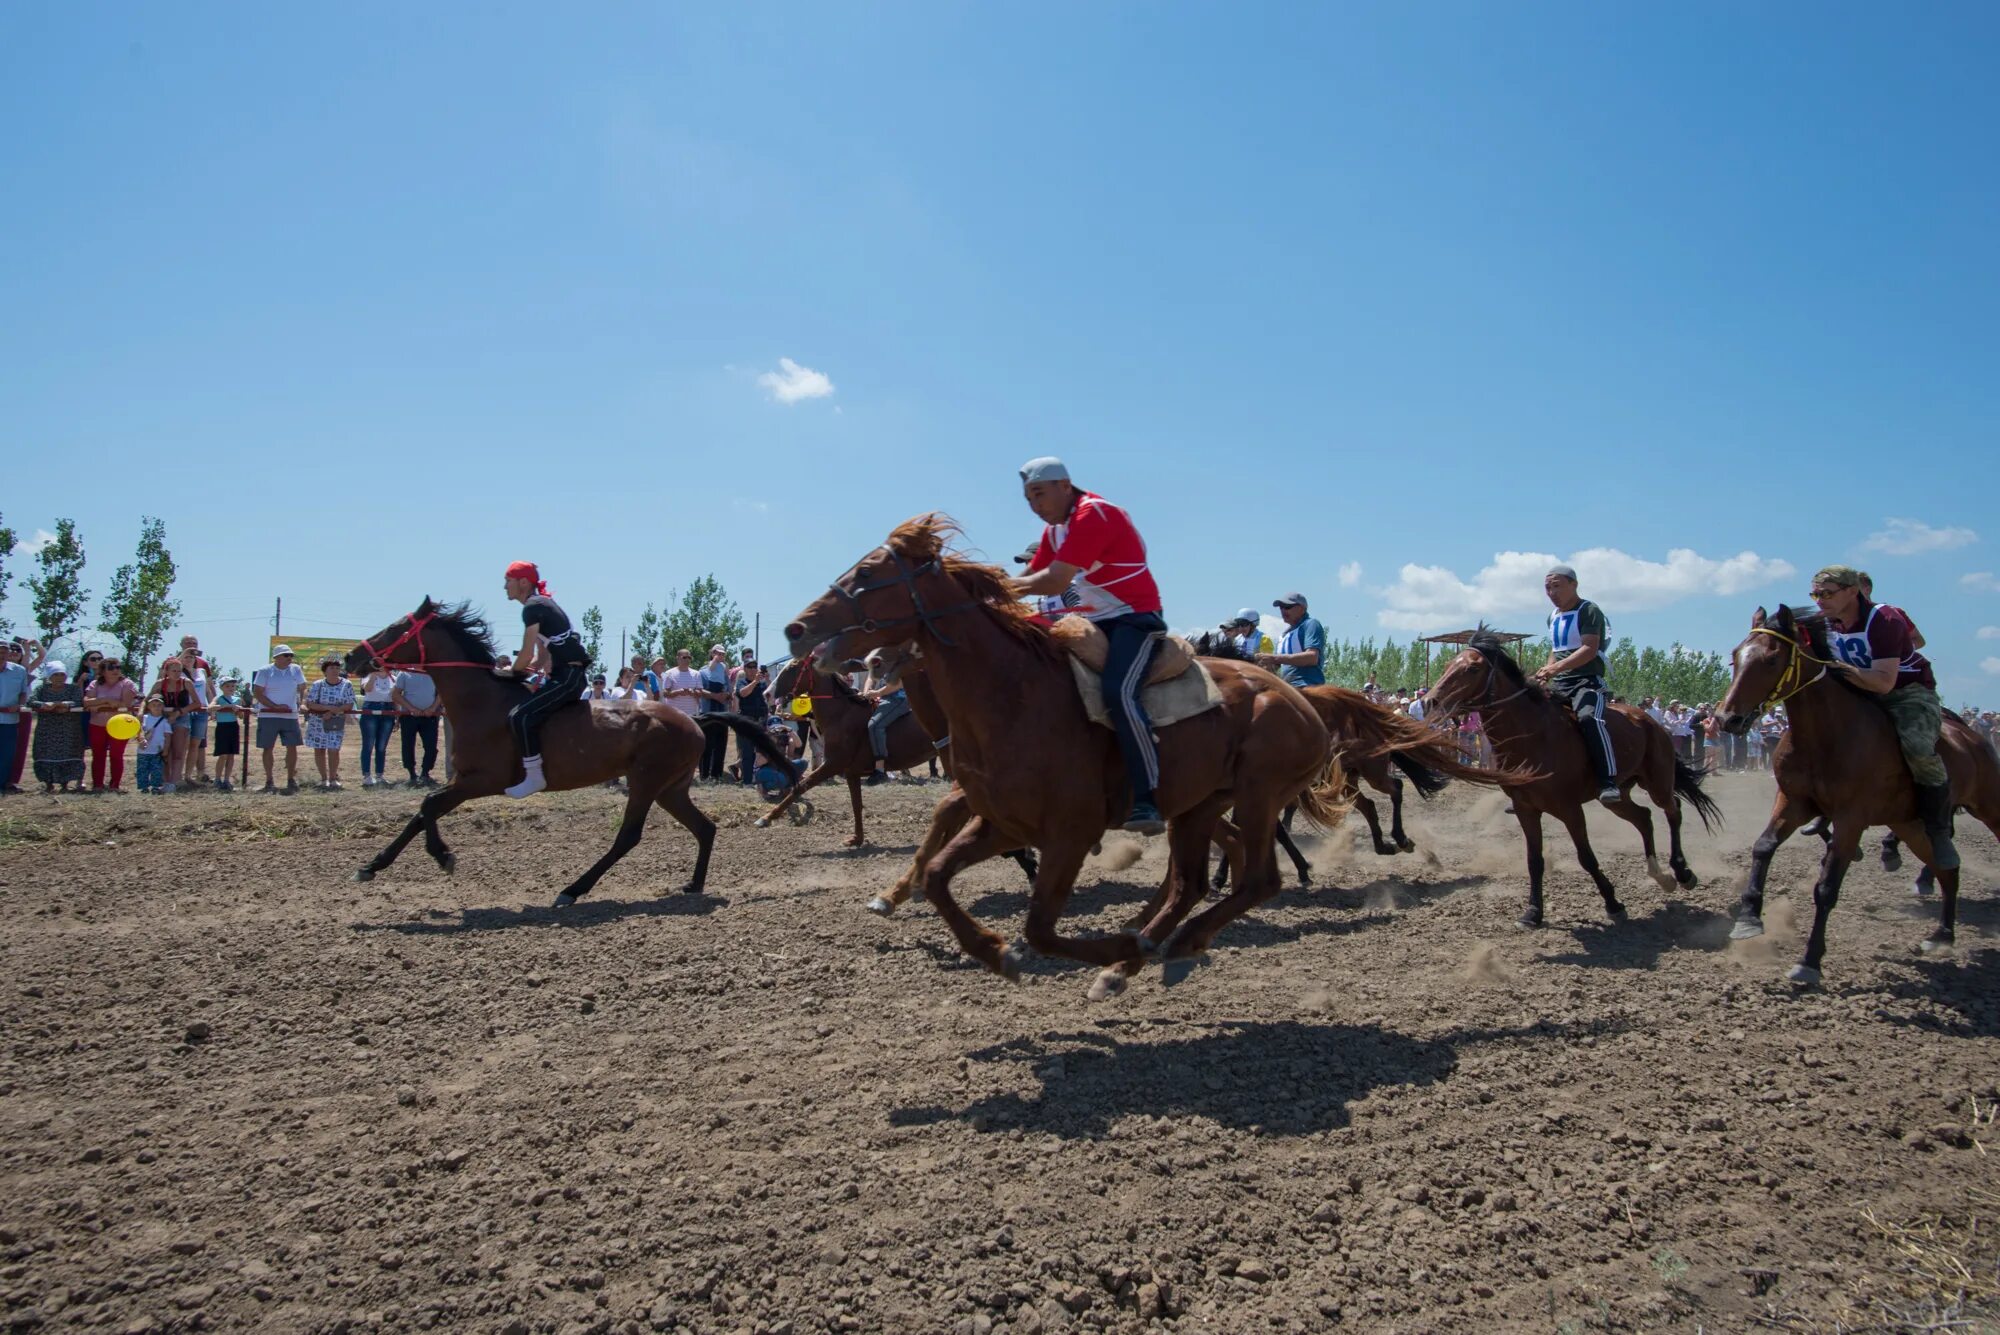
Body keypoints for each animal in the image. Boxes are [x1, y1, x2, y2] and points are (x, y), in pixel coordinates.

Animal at [348, 603, 792, 907]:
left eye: (396, 628)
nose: (351, 656)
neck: (482, 701)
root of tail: (695, 719)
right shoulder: (465, 779)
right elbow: (423, 810)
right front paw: (372, 866)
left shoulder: (483, 779)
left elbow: (428, 805)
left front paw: (442, 856)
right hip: (671, 788)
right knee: (704, 828)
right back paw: (694, 884)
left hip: (647, 781)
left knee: (629, 836)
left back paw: (572, 889)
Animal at [760, 655, 940, 843]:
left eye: (792, 667)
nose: (766, 694)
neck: (842, 714)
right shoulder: (850, 771)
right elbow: (856, 804)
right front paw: (857, 839)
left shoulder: (833, 764)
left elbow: (801, 786)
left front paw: (766, 818)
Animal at [780, 515, 1344, 995]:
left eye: (869, 572)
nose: (795, 629)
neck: (1014, 695)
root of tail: (1300, 701)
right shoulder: (1002, 822)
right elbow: (939, 875)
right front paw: (987, 946)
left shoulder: (1070, 833)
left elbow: (1040, 927)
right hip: (1198, 806)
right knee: (1191, 881)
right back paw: (1143, 949)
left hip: (1257, 795)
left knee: (1258, 879)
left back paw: (1161, 944)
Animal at [1424, 627, 1720, 923]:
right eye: (1448, 665)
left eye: (1473, 668)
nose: (1430, 701)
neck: (1533, 735)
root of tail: (1650, 722)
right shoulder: (1526, 809)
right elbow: (1534, 860)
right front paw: (1533, 911)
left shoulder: (1570, 809)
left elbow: (1586, 857)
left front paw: (1613, 903)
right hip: (1618, 796)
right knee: (1644, 818)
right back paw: (1661, 876)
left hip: (1657, 781)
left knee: (1673, 810)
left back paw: (1682, 872)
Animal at [1712, 603, 2000, 979]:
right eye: (1736, 656)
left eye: (1772, 660)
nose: (1727, 719)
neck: (1827, 735)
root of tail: (1974, 738)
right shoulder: (1793, 801)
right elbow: (1763, 847)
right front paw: (1748, 918)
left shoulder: (1851, 818)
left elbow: (1826, 888)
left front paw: (1809, 961)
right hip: (1910, 824)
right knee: (1946, 870)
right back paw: (1942, 935)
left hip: (1987, 804)